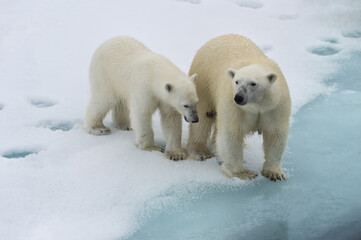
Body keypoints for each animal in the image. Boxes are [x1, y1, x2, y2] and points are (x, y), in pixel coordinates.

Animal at [186, 33, 290, 180]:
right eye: (236, 81)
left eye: (253, 83)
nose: (239, 97)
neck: (256, 106)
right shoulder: (234, 106)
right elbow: (231, 134)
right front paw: (243, 173)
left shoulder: (274, 106)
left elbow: (274, 134)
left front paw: (274, 173)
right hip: (204, 81)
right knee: (204, 116)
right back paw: (200, 152)